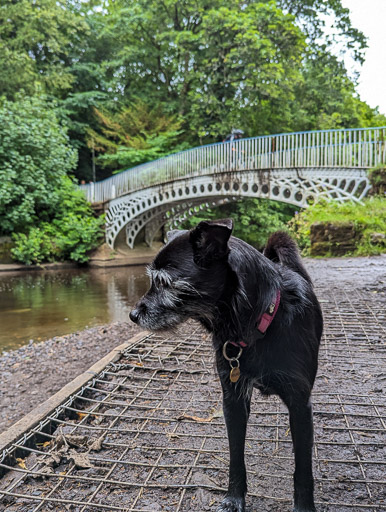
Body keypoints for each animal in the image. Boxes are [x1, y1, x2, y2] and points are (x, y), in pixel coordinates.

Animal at [130, 220, 322, 512]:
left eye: (164, 282)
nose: (132, 315)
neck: (257, 323)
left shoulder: (300, 404)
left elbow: (303, 469)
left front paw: (303, 507)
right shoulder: (233, 400)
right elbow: (235, 457)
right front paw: (234, 499)